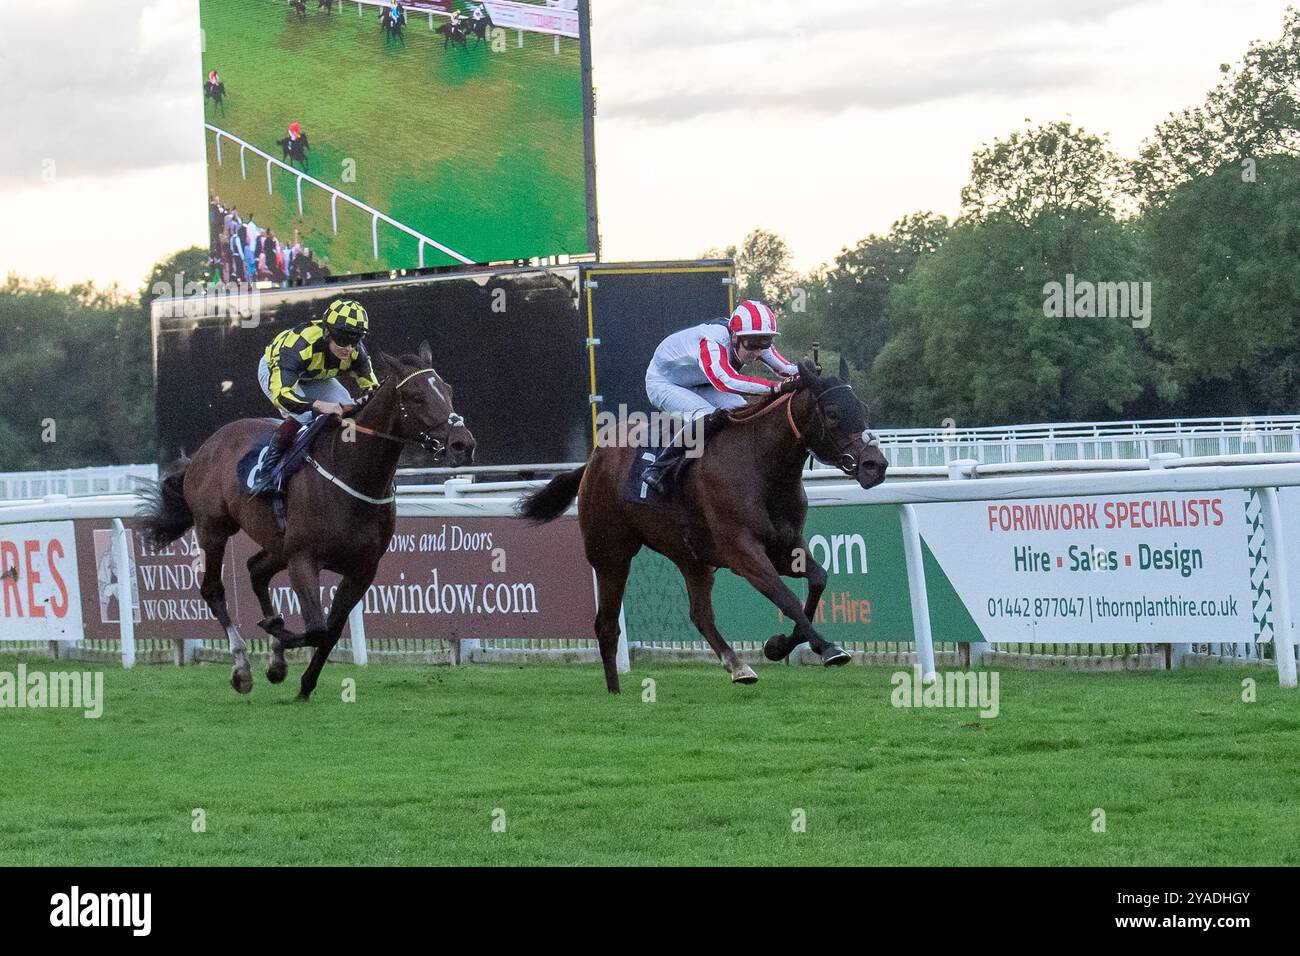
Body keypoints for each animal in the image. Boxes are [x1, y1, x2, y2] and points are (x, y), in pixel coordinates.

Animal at [139, 345, 475, 702]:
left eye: (448, 390)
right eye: (415, 397)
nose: (462, 444)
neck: (352, 471)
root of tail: (204, 449)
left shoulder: (362, 569)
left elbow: (331, 630)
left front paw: (302, 681)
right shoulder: (303, 558)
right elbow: (317, 628)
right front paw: (277, 636)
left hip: (277, 542)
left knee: (256, 569)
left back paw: (274, 655)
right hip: (213, 528)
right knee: (213, 589)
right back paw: (242, 667)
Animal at [514, 361, 883, 691]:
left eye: (863, 408)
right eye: (832, 413)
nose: (875, 465)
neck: (761, 465)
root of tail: (593, 459)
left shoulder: (786, 545)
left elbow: (818, 580)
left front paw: (778, 645)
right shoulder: (742, 551)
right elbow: (786, 597)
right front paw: (827, 648)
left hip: (691, 557)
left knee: (699, 614)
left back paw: (738, 667)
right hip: (610, 554)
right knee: (606, 624)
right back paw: (616, 693)